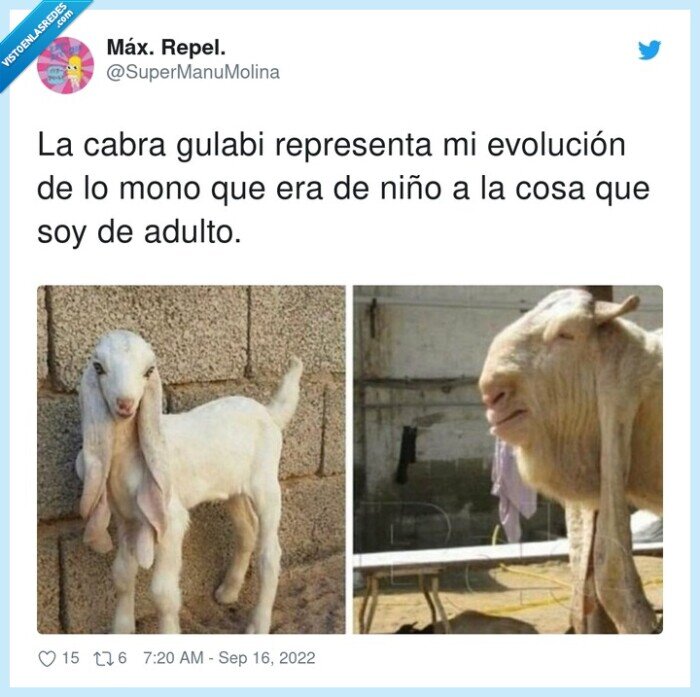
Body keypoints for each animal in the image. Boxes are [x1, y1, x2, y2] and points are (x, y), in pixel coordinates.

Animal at [75, 329, 302, 634]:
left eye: (149, 371)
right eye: (98, 367)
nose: (125, 405)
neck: (130, 454)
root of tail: (269, 413)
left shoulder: (169, 519)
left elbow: (162, 593)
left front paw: (169, 631)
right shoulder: (127, 519)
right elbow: (122, 574)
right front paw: (121, 629)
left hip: (266, 483)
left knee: (270, 553)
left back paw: (258, 624)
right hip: (233, 488)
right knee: (246, 531)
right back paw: (228, 592)